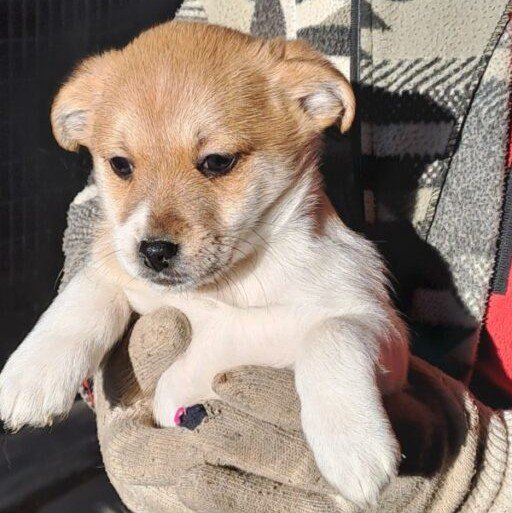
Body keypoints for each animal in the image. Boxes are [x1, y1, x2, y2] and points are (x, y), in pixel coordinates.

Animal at [0, 22, 409, 506]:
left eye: (217, 162)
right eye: (120, 165)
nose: (154, 252)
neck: (229, 287)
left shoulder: (378, 323)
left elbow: (331, 332)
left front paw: (353, 445)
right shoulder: (129, 276)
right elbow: (91, 288)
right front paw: (31, 376)